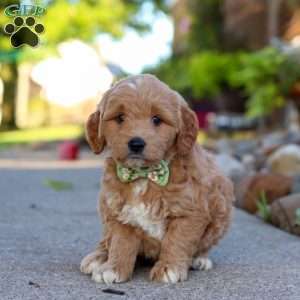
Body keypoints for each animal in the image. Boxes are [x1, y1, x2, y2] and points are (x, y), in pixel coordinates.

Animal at [79, 74, 234, 284]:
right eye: (120, 118)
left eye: (157, 119)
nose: (136, 143)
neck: (145, 176)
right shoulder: (118, 211)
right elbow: (120, 242)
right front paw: (113, 268)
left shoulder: (191, 212)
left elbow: (177, 240)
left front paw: (169, 267)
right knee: (106, 240)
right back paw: (98, 257)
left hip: (220, 207)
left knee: (204, 244)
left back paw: (200, 259)